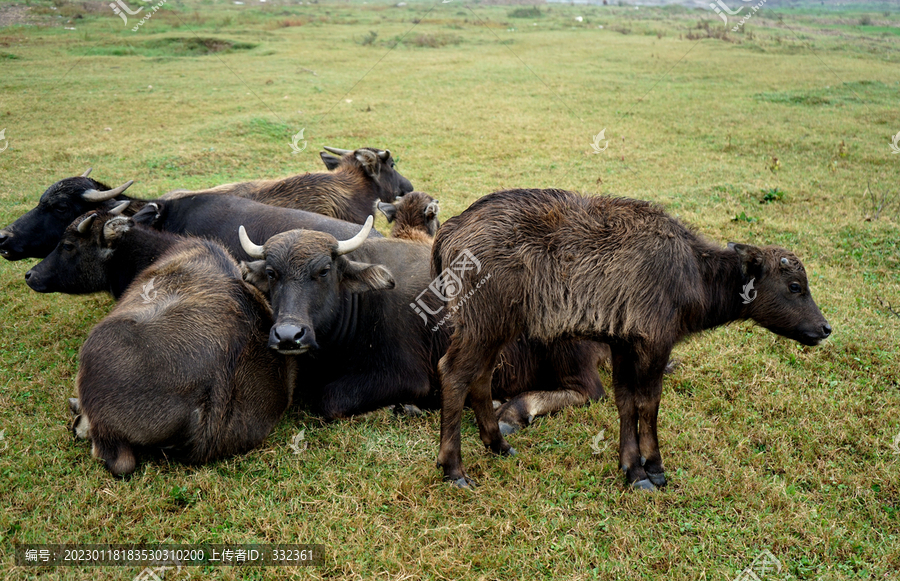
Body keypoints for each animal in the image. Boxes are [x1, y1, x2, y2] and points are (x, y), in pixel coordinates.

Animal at [432, 188, 832, 488]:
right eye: (795, 286)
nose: (825, 328)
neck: (691, 272)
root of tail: (452, 228)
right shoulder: (655, 342)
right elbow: (648, 403)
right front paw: (653, 467)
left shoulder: (623, 343)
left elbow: (625, 401)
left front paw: (631, 467)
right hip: (482, 323)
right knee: (453, 373)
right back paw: (453, 469)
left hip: (494, 328)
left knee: (481, 378)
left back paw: (497, 444)